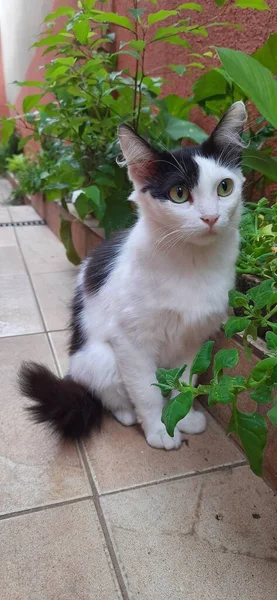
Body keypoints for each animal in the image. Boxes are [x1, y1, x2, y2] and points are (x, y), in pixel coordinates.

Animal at [18, 102, 245, 450]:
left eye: (225, 187)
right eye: (179, 193)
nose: (211, 218)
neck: (192, 263)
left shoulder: (196, 340)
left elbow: (186, 381)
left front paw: (182, 416)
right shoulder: (131, 342)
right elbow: (145, 391)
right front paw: (160, 430)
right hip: (101, 359)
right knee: (111, 393)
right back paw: (127, 415)